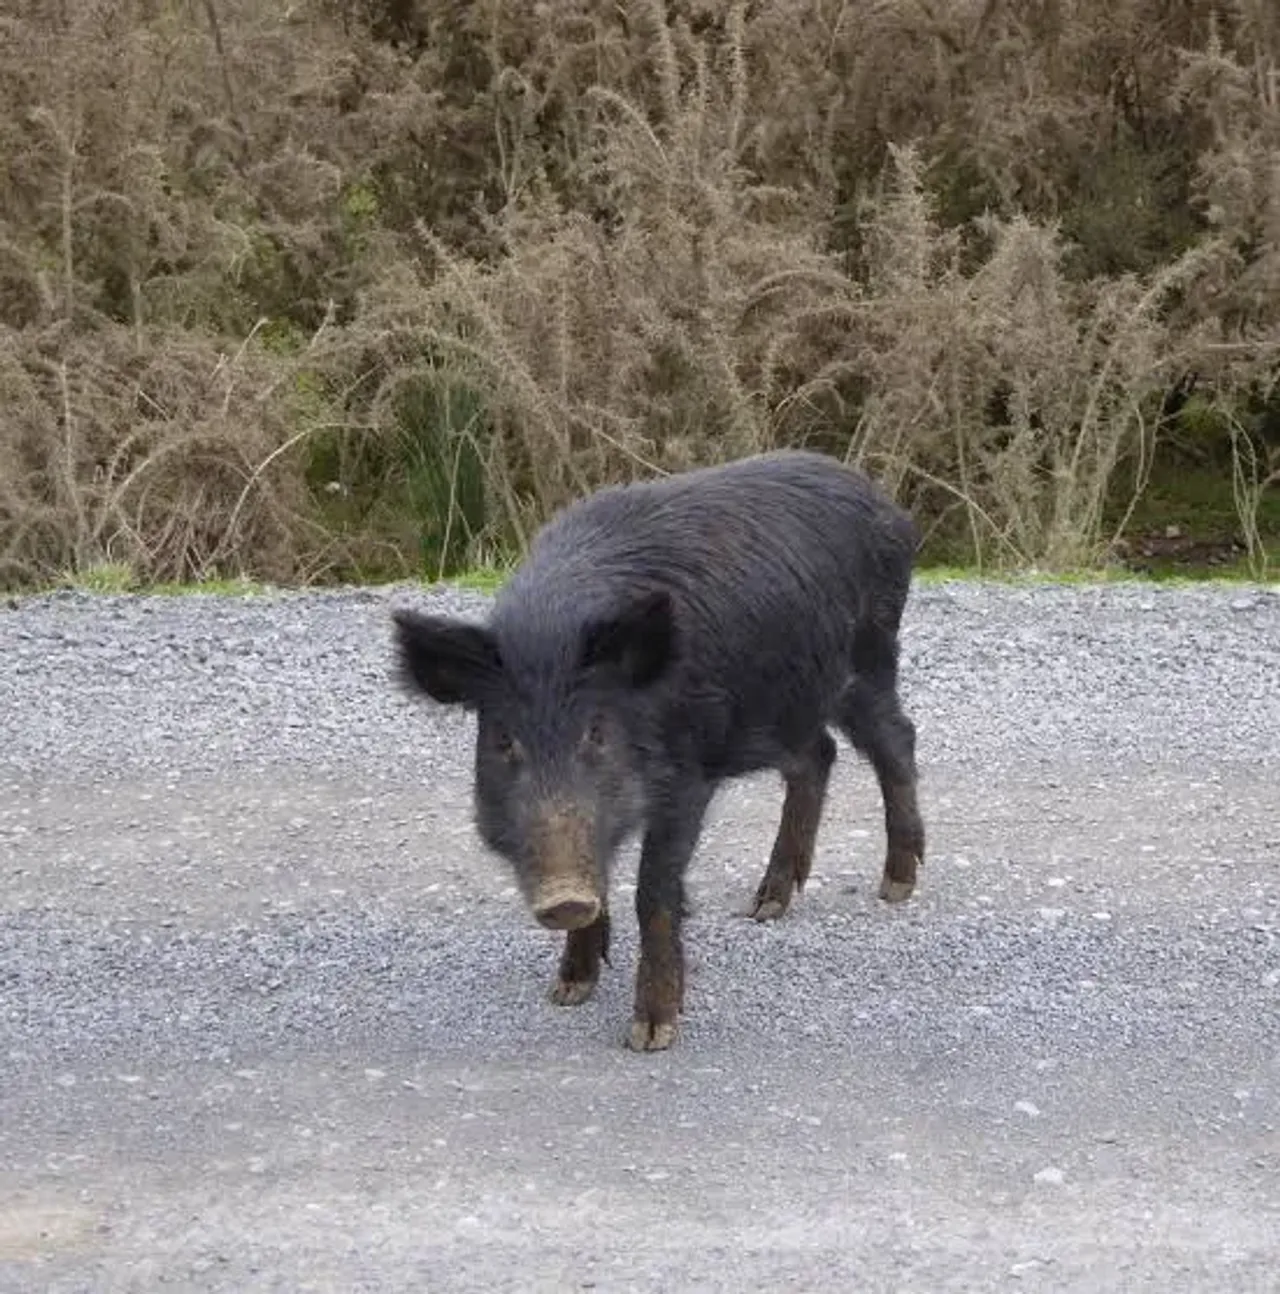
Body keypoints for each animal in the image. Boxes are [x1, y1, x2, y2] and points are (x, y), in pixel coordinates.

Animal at [392, 449, 925, 1051]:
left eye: (596, 732)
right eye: (504, 740)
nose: (563, 897)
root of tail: (888, 506)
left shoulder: (687, 778)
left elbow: (653, 890)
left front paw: (650, 1036)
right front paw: (567, 993)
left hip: (867, 660)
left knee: (896, 741)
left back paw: (895, 887)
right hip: (785, 706)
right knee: (820, 754)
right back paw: (764, 907)